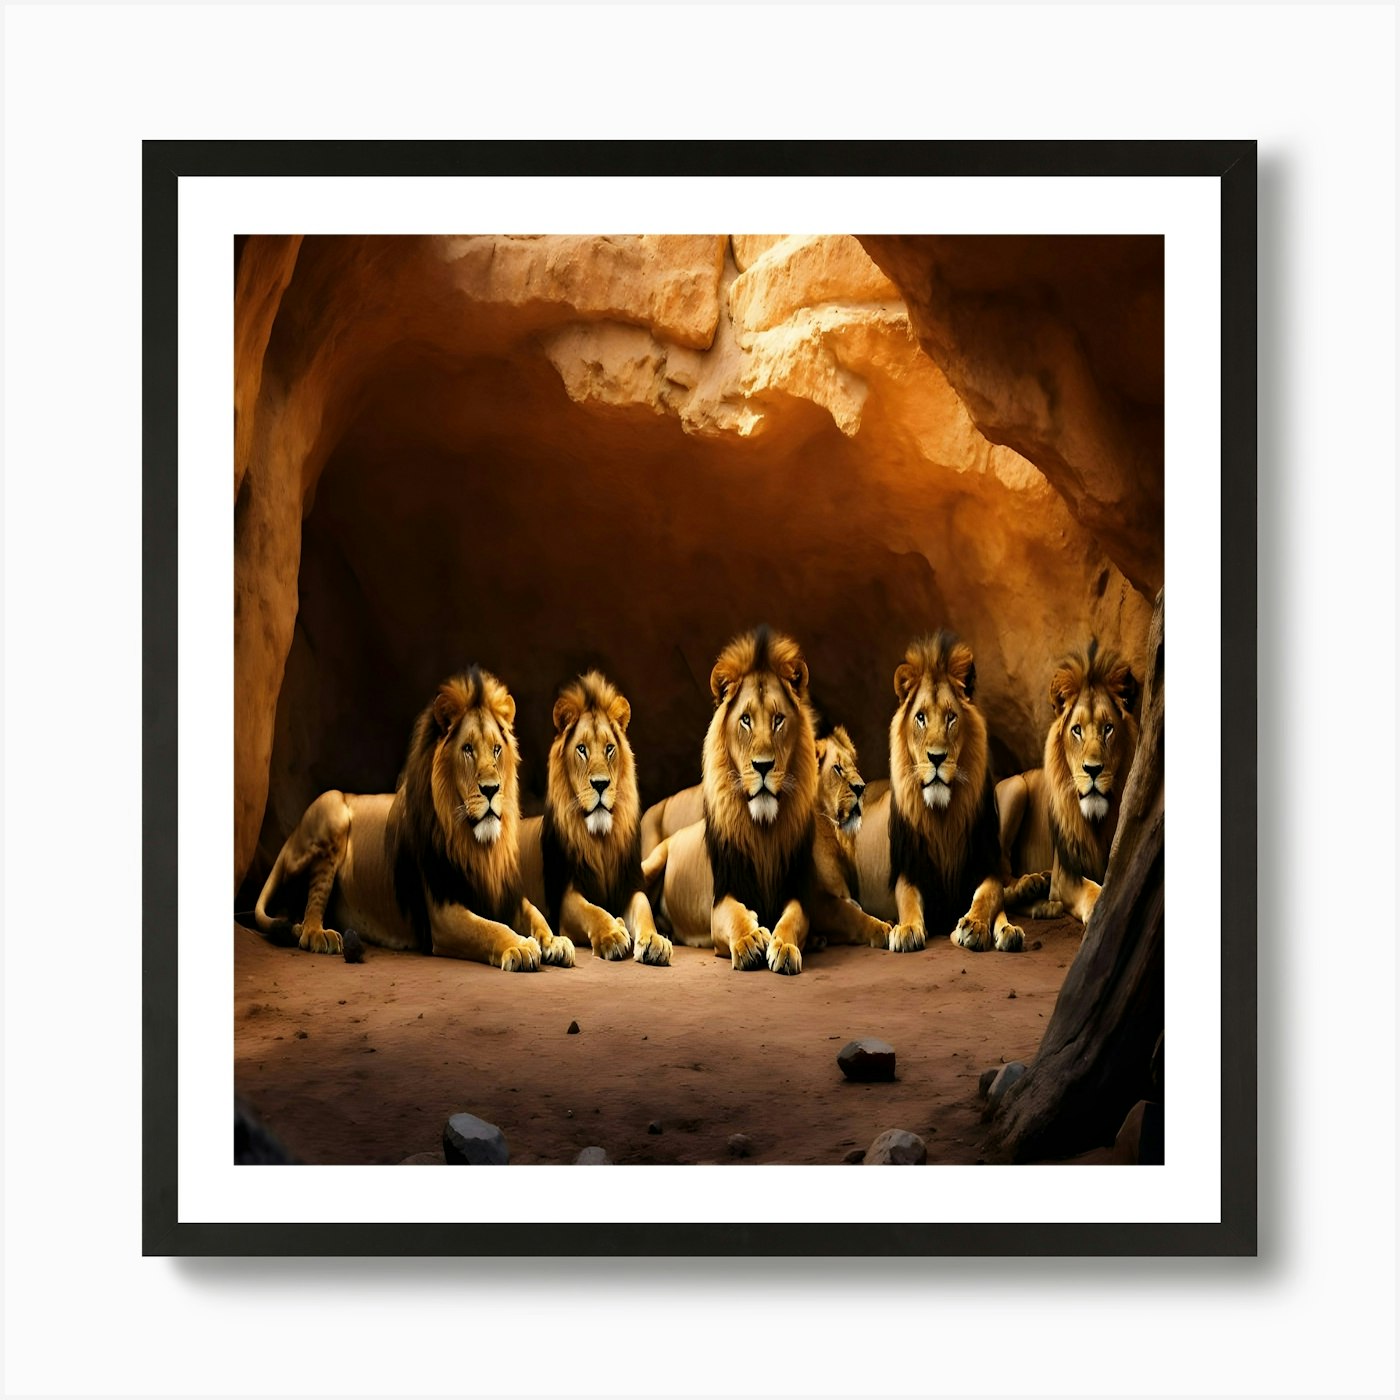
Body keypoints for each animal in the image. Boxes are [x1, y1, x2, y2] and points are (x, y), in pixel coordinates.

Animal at [253, 668, 572, 971]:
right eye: (467, 749)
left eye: (497, 749)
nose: (492, 789)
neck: (476, 844)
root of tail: (289, 839)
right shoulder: (443, 914)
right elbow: (489, 928)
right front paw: (520, 946)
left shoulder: (503, 893)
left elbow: (536, 914)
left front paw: (554, 941)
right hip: (331, 806)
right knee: (311, 908)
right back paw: (318, 934)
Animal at [517, 672, 672, 965]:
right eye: (581, 749)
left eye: (610, 748)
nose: (601, 784)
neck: (600, 839)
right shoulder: (565, 894)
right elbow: (590, 910)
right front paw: (612, 935)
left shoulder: (629, 883)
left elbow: (644, 909)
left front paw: (654, 940)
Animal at [853, 632, 1024, 953]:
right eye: (920, 717)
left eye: (951, 717)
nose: (936, 757)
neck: (944, 816)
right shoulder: (909, 869)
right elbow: (908, 899)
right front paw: (906, 929)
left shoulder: (984, 863)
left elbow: (990, 895)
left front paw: (983, 926)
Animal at [998, 640, 1141, 925]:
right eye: (1077, 730)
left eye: (1108, 728)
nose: (1093, 770)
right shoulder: (1066, 873)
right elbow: (1091, 889)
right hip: (1017, 788)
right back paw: (1030, 887)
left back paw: (1041, 899)